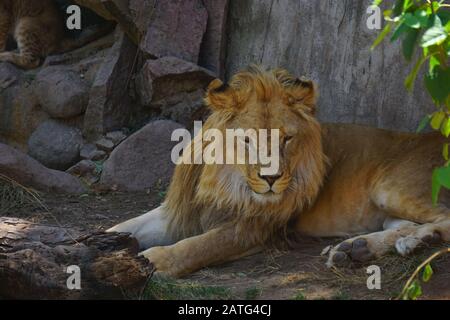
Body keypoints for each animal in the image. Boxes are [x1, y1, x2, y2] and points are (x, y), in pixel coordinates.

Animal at [109, 65, 450, 278]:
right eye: (247, 139)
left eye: (287, 138)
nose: (271, 179)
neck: (226, 179)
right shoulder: (179, 210)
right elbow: (123, 228)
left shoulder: (253, 227)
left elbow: (195, 247)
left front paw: (153, 261)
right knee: (409, 223)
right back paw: (363, 249)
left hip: (391, 187)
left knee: (443, 219)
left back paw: (413, 241)